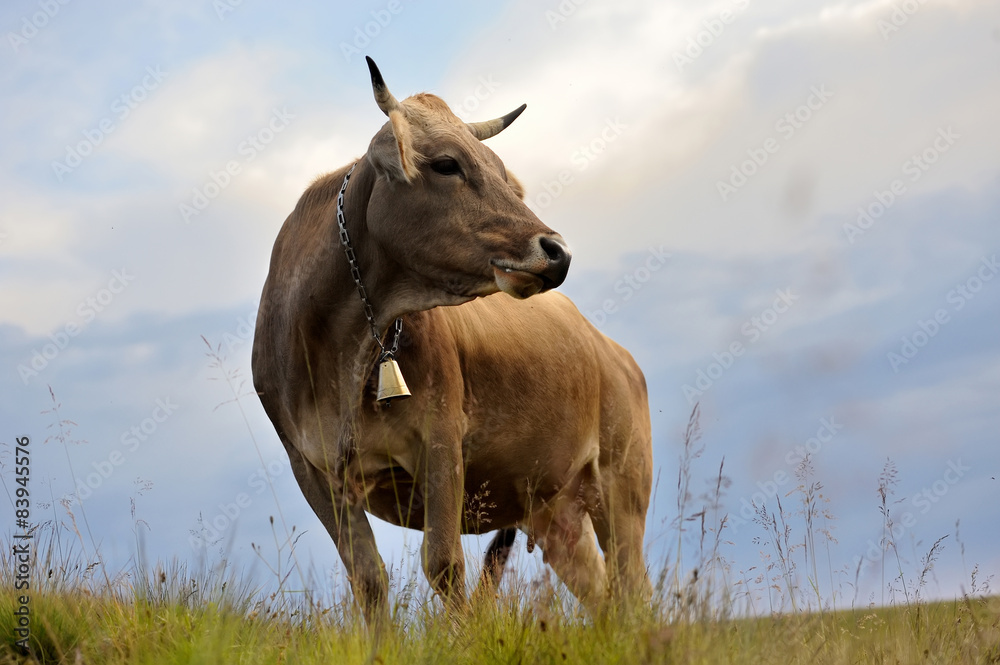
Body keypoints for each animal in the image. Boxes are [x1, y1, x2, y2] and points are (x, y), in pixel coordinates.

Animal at [254, 57, 652, 616]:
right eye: (447, 164)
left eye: (504, 174)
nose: (557, 252)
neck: (340, 350)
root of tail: (613, 352)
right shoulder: (311, 467)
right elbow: (368, 578)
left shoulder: (440, 438)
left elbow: (443, 565)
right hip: (556, 512)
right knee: (604, 597)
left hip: (621, 486)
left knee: (634, 590)